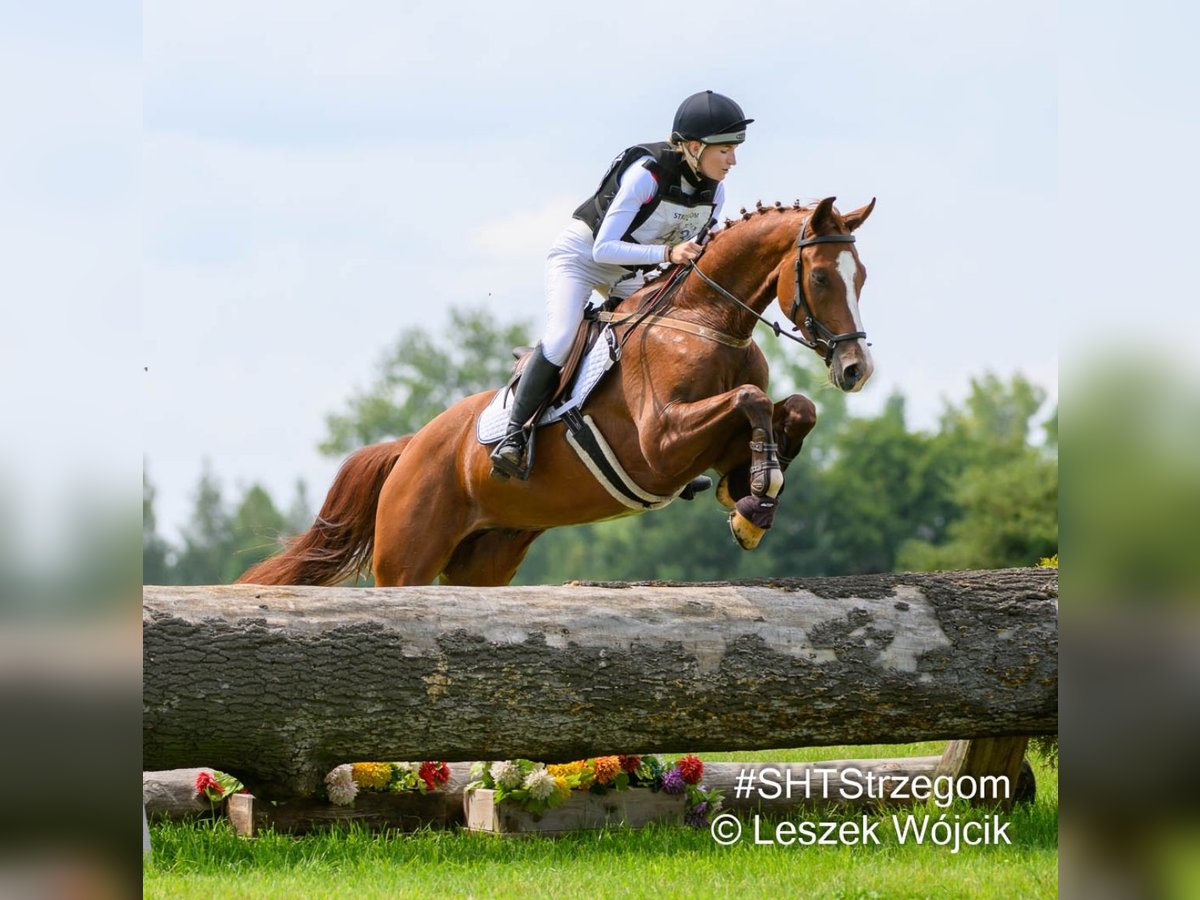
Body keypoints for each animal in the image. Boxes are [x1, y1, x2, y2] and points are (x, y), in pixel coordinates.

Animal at [236, 195, 873, 592]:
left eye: (861, 277)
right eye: (821, 277)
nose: (855, 370)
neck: (705, 319)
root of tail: (409, 447)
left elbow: (795, 409)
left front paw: (752, 496)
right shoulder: (661, 444)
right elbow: (750, 400)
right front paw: (757, 493)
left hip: (485, 560)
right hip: (406, 559)